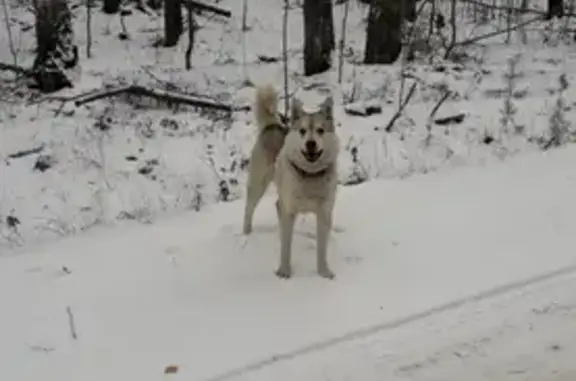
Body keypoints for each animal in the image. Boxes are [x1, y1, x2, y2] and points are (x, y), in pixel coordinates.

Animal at [242, 84, 340, 278]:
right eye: (302, 131)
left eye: (320, 130)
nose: (311, 143)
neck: (310, 175)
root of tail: (273, 125)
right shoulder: (288, 210)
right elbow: (286, 247)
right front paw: (284, 271)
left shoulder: (324, 212)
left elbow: (322, 248)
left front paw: (324, 272)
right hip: (257, 185)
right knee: (249, 209)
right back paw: (247, 233)